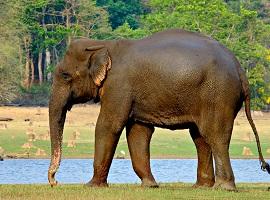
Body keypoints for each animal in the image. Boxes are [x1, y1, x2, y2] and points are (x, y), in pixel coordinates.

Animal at [47, 28, 268, 191]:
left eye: (65, 75)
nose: (55, 182)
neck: (105, 44)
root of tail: (240, 70)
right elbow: (138, 131)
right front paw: (150, 185)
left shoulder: (119, 85)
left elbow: (109, 125)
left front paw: (92, 186)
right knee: (200, 137)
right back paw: (201, 187)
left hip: (219, 95)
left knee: (215, 135)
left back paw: (223, 188)